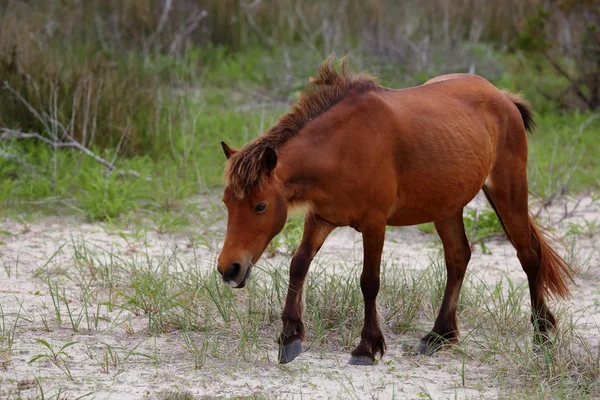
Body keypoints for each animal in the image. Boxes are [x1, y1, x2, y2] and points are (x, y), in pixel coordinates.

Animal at [216, 56, 572, 366]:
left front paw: (366, 347)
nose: (229, 269)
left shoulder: (374, 224)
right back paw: (439, 335)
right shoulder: (320, 218)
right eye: (226, 203)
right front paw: (289, 338)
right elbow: (298, 265)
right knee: (458, 258)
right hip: (447, 207)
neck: (342, 147)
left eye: (260, 205)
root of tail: (503, 97)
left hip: (508, 193)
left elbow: (369, 281)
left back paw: (541, 337)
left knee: (529, 257)